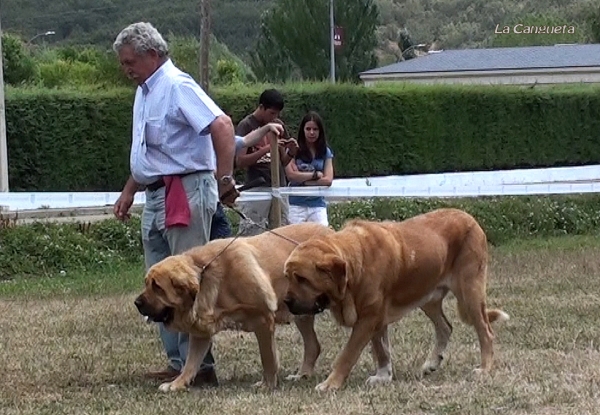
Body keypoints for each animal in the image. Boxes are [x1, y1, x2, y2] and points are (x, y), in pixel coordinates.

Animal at [133, 223, 336, 392]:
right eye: (146, 283)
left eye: (157, 287)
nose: (136, 303)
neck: (206, 277)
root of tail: (331, 231)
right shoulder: (201, 334)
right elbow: (190, 363)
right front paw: (176, 384)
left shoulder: (263, 321)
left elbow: (268, 357)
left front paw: (268, 384)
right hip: (302, 311)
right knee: (313, 346)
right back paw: (302, 375)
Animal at [284, 210, 508, 392]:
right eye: (287, 276)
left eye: (302, 278)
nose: (286, 301)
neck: (355, 264)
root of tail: (470, 218)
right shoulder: (376, 319)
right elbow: (382, 349)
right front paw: (384, 376)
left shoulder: (368, 319)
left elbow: (348, 354)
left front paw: (331, 384)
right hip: (428, 297)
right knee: (445, 327)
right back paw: (431, 363)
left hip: (470, 293)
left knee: (485, 331)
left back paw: (484, 368)